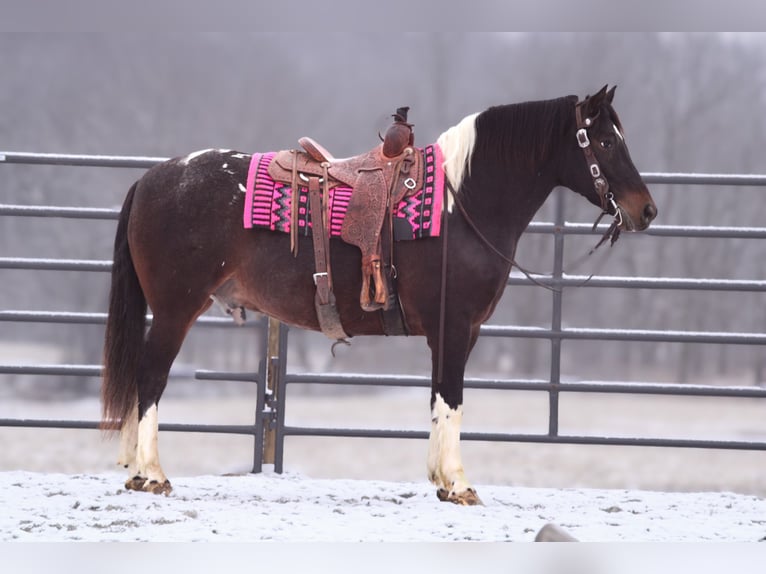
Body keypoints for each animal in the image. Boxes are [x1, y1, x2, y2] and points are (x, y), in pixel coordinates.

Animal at [99, 83, 656, 506]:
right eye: (606, 143)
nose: (646, 210)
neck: (462, 203)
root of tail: (152, 179)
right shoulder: (454, 328)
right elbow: (452, 399)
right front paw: (459, 484)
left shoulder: (453, 333)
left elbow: (439, 399)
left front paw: (440, 480)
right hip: (175, 311)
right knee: (150, 380)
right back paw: (152, 474)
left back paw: (135, 472)